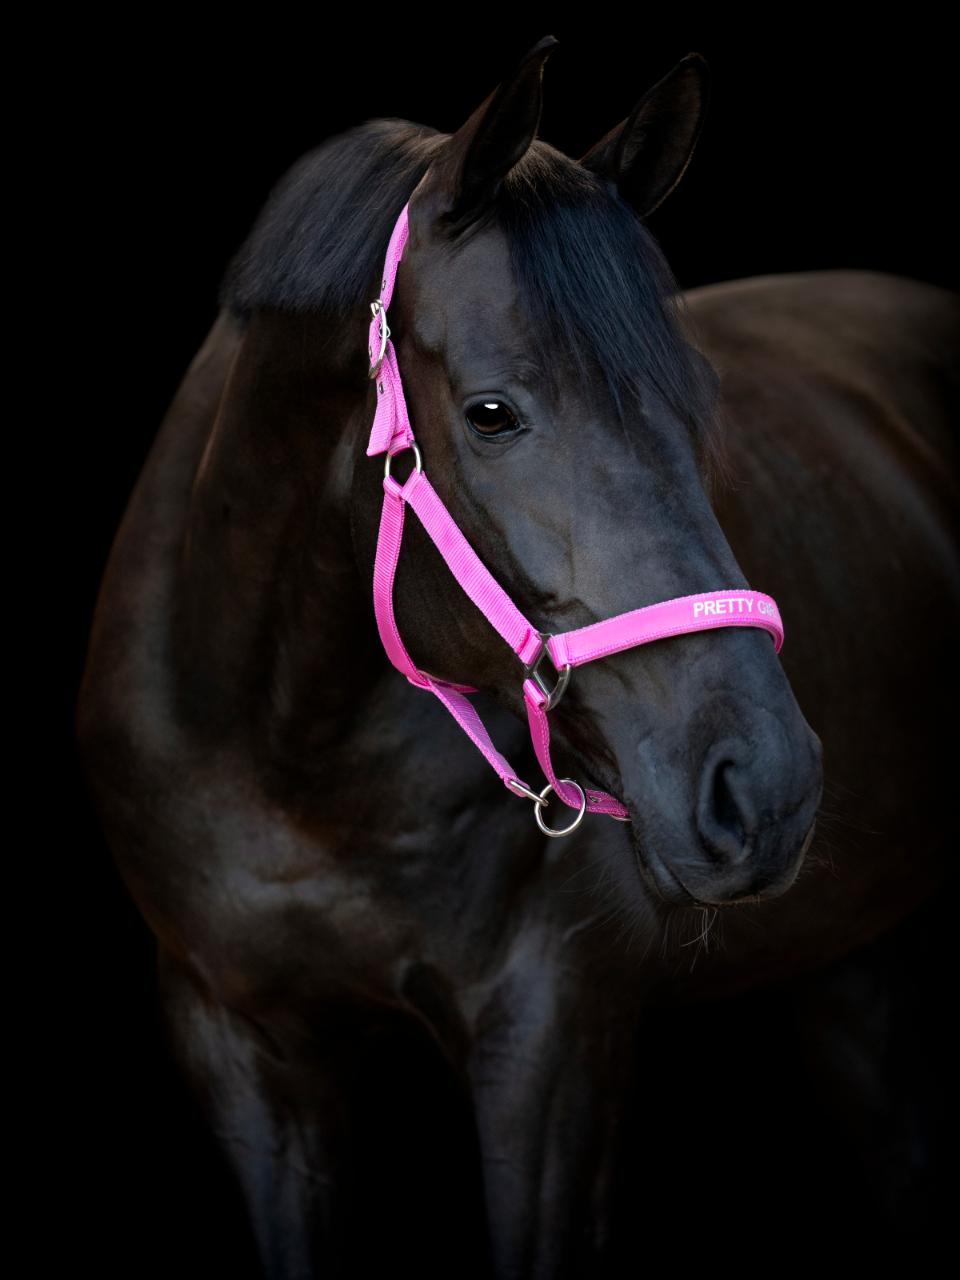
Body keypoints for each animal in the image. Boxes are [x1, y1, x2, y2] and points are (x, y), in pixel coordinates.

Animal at [75, 35, 958, 1278]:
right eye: (492, 411)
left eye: (698, 400)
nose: (766, 785)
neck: (289, 758)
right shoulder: (243, 1044)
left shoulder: (552, 1041)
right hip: (853, 958)